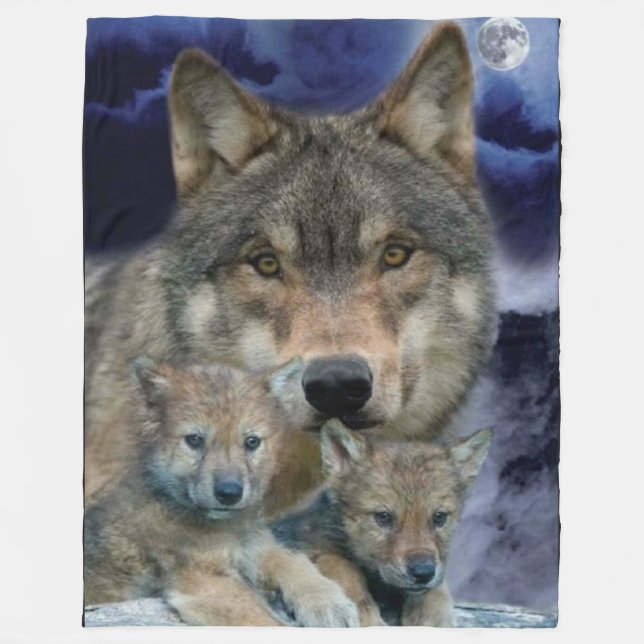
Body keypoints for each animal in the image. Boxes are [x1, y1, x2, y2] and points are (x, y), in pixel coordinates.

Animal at [84, 358, 359, 627]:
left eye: (251, 441)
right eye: (194, 440)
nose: (229, 493)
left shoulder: (257, 547)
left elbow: (293, 561)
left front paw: (330, 604)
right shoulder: (204, 581)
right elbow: (265, 622)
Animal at [273, 420, 493, 626]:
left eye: (439, 517)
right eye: (383, 516)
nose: (422, 573)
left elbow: (437, 589)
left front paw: (432, 618)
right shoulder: (304, 546)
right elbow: (341, 568)